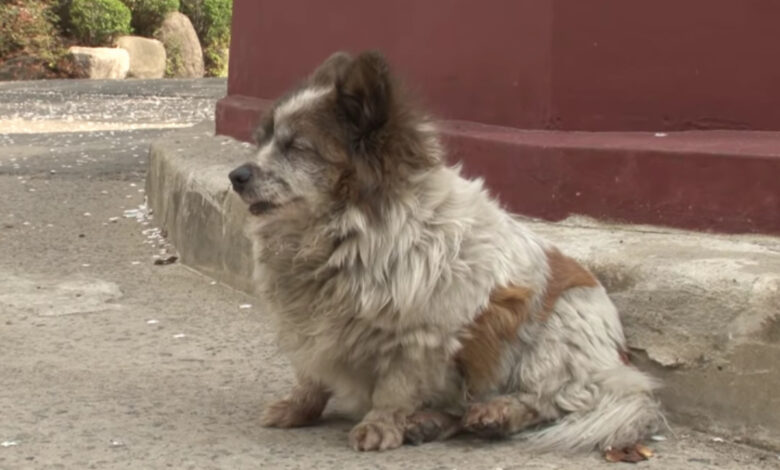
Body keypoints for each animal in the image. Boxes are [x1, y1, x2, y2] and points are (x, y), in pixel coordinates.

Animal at [229, 50, 660, 452]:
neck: (347, 233)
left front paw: (380, 424)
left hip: (553, 338)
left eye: (296, 148)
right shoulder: (307, 324)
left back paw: (498, 413)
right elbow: (310, 375)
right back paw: (432, 423)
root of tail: (617, 360)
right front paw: (299, 407)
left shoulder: (418, 337)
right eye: (263, 140)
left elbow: (395, 389)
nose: (236, 176)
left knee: (548, 400)